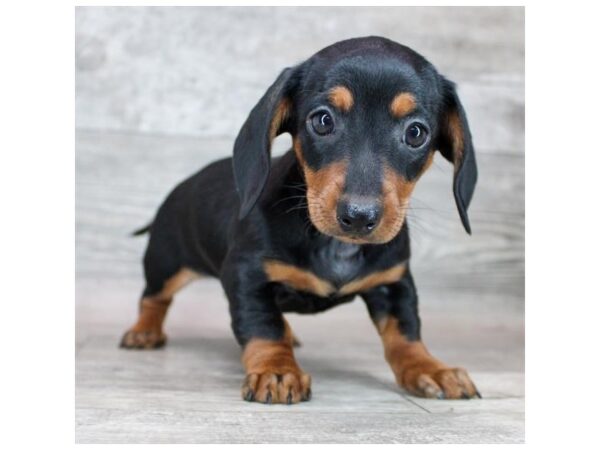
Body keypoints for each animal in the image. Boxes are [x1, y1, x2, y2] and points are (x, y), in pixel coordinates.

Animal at [120, 36, 478, 404]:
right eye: (322, 121)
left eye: (416, 133)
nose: (359, 216)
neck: (333, 245)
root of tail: (182, 186)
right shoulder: (247, 276)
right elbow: (265, 328)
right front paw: (276, 371)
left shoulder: (393, 282)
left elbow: (406, 331)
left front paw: (429, 368)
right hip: (165, 261)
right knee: (153, 297)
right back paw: (144, 331)